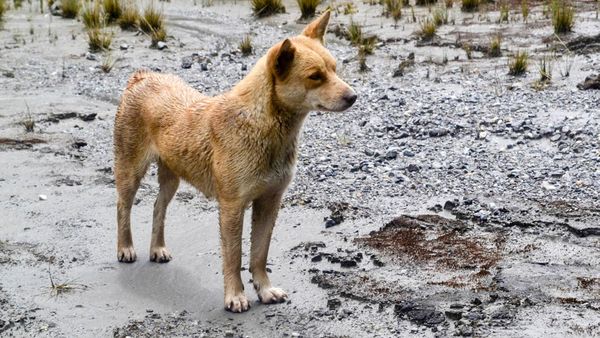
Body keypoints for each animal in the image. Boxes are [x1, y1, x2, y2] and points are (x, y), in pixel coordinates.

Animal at [113, 9, 356, 312]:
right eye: (315, 76)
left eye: (334, 68)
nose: (353, 97)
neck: (263, 126)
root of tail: (142, 77)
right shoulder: (232, 206)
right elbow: (234, 256)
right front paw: (235, 296)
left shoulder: (270, 201)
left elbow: (259, 254)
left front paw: (264, 290)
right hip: (130, 170)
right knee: (123, 207)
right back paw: (125, 247)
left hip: (172, 176)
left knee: (159, 207)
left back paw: (157, 248)